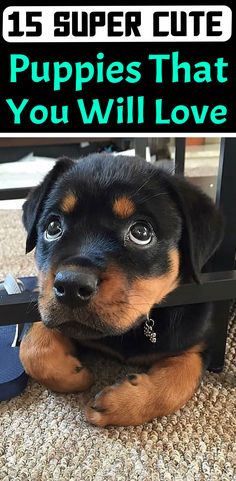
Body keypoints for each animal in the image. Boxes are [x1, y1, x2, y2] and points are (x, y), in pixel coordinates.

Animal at [19, 153, 223, 424]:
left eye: (141, 232)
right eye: (53, 227)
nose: (71, 285)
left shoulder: (198, 344)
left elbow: (177, 384)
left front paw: (119, 404)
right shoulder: (43, 300)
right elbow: (32, 348)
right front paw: (75, 374)